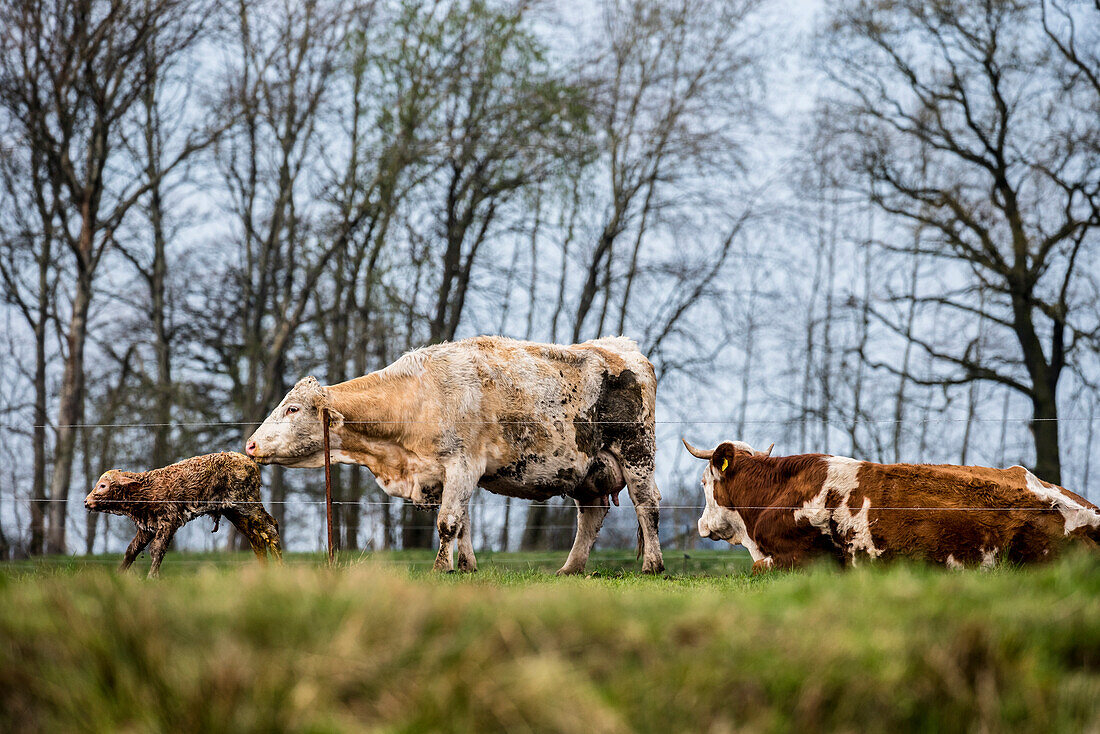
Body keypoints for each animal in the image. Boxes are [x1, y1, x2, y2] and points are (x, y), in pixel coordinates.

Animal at [86, 451, 283, 576]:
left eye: (103, 485)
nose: (86, 502)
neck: (146, 491)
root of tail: (251, 463)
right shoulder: (147, 527)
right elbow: (131, 551)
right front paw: (119, 574)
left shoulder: (169, 521)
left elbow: (157, 550)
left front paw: (152, 577)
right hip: (234, 512)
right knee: (256, 537)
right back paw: (264, 570)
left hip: (247, 504)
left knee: (271, 528)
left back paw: (279, 568)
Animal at [246, 336, 664, 576]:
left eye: (292, 409)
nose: (250, 445)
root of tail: (622, 346)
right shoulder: (446, 474)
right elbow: (462, 523)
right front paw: (465, 567)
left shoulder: (463, 464)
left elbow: (448, 522)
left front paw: (440, 568)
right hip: (585, 471)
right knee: (591, 516)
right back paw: (570, 569)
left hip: (636, 453)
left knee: (648, 506)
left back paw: (652, 565)